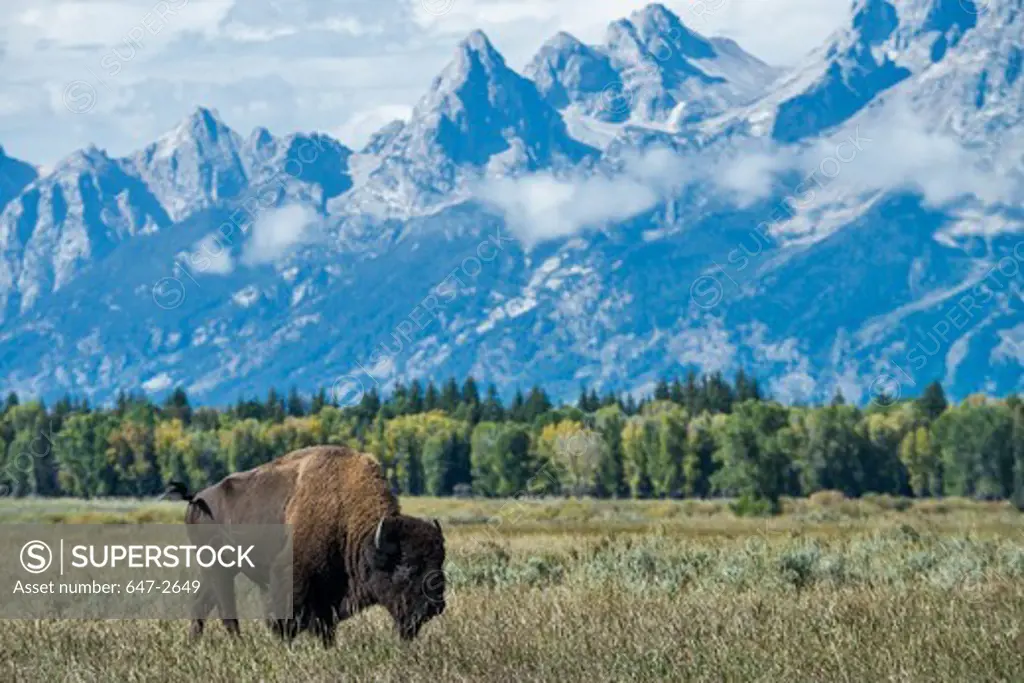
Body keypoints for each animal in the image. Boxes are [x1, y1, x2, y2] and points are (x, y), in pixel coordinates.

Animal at [159, 446, 444, 643]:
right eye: (407, 567)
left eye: (438, 561)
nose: (435, 605)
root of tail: (197, 498)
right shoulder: (290, 578)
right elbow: (286, 620)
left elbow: (325, 626)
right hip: (219, 568)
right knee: (226, 610)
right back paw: (239, 645)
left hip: (218, 569)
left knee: (201, 604)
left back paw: (194, 644)